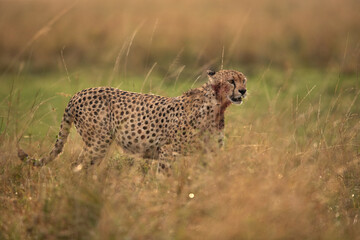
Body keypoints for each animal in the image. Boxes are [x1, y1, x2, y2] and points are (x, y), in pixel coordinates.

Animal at [17, 69, 248, 172]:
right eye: (231, 81)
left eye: (243, 80)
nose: (244, 91)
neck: (217, 106)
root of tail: (79, 92)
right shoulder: (168, 151)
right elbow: (164, 177)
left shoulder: (210, 153)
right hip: (98, 142)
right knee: (78, 165)